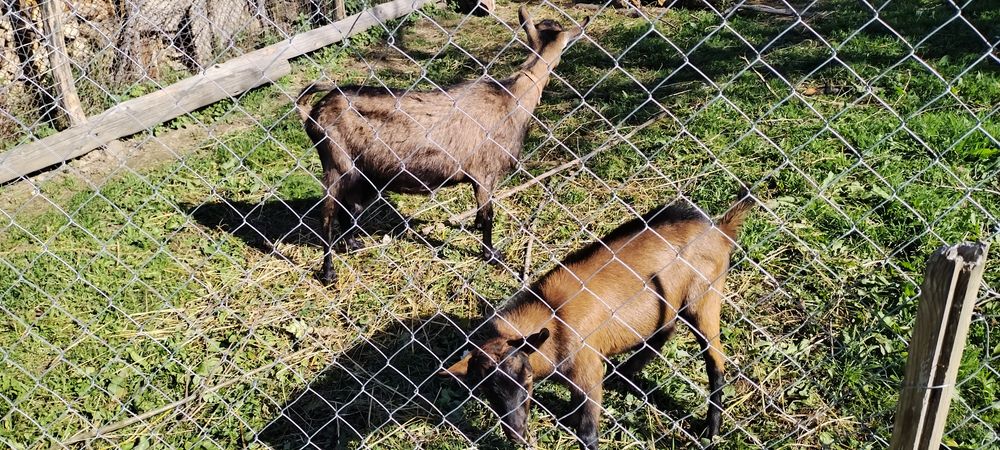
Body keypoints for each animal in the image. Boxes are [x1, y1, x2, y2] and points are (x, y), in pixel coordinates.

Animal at [296, 7, 590, 285]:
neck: (511, 98)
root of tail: (312, 112)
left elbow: (481, 215)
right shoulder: (484, 173)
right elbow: (489, 215)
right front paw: (491, 255)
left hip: (361, 174)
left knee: (348, 209)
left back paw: (354, 244)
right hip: (336, 164)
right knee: (327, 215)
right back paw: (328, 272)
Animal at [439, 192, 754, 449]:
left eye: (527, 378)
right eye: (486, 389)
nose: (516, 434)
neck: (554, 317)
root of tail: (721, 229)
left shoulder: (588, 370)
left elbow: (587, 432)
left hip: (704, 298)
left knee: (714, 362)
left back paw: (712, 429)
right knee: (664, 330)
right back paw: (627, 373)